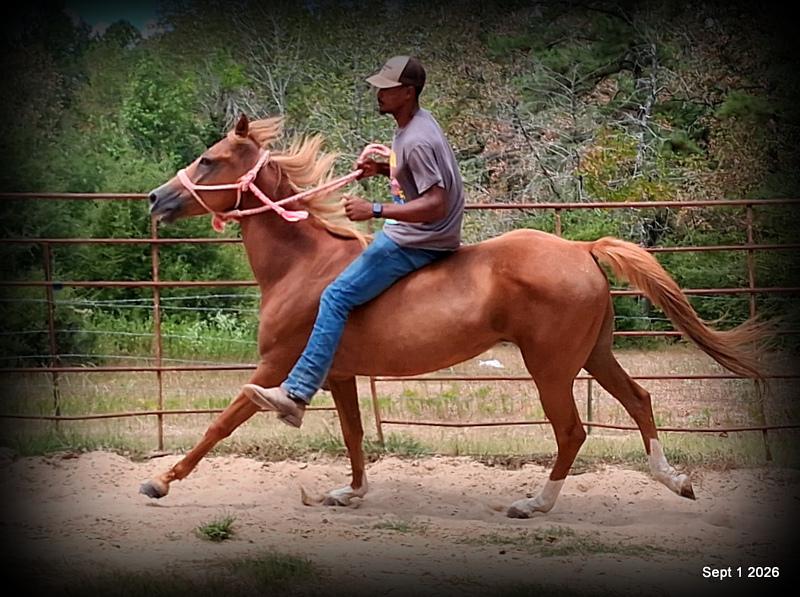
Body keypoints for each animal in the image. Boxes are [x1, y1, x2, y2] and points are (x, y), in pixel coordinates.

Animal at [142, 114, 765, 517]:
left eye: (209, 159)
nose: (155, 198)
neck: (303, 265)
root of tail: (580, 248)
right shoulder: (339, 373)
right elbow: (353, 433)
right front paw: (350, 493)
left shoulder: (278, 363)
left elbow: (225, 419)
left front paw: (160, 482)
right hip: (594, 354)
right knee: (639, 400)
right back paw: (674, 481)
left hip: (552, 368)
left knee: (572, 430)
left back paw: (534, 503)